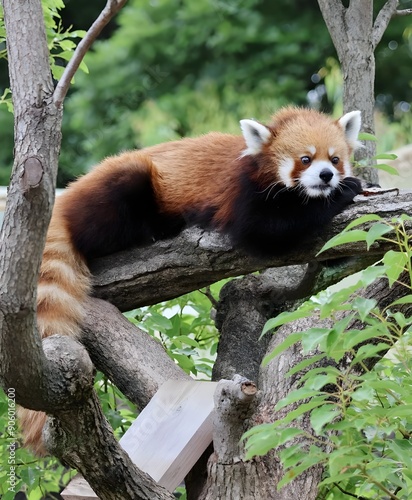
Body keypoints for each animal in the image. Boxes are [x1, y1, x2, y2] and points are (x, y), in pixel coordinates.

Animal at [19, 105, 362, 454]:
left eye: (334, 159)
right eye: (305, 159)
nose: (327, 176)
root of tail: (66, 199)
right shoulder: (242, 194)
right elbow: (269, 229)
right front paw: (345, 192)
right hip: (125, 187)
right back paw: (153, 231)